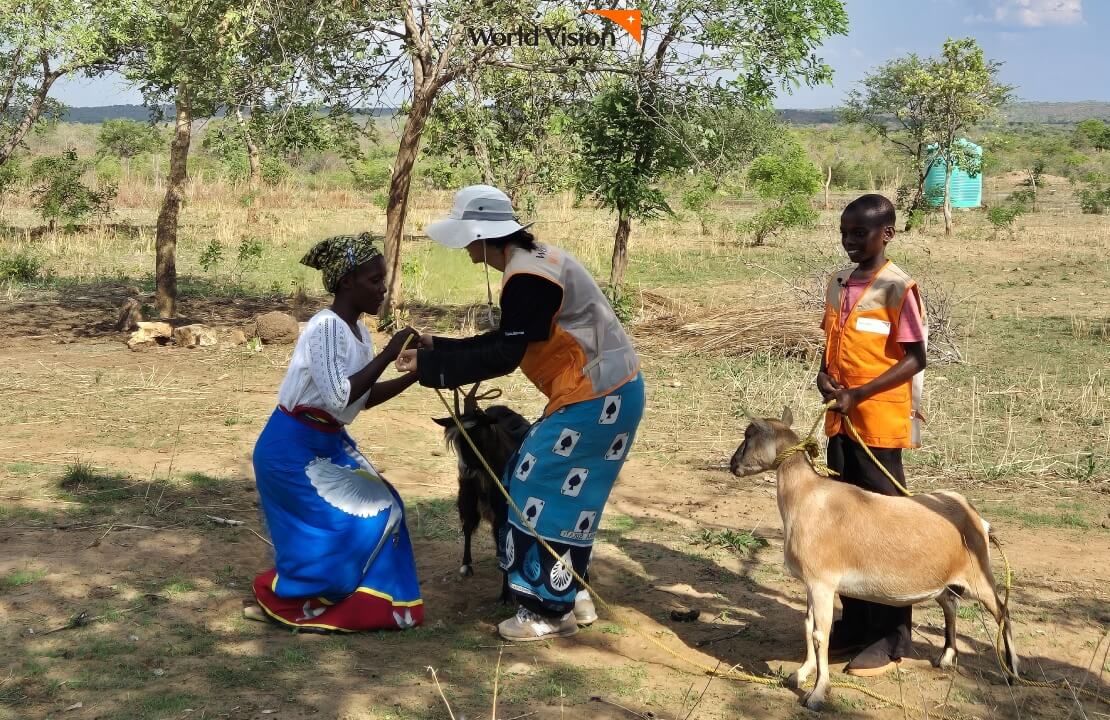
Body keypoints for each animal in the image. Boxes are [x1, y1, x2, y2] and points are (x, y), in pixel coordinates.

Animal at [728, 408, 1016, 710]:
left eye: (748, 434)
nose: (732, 465)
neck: (806, 498)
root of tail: (977, 518)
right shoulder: (810, 584)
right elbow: (808, 627)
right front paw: (800, 674)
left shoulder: (822, 583)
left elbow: (820, 635)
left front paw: (817, 693)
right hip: (942, 581)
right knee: (951, 606)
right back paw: (947, 658)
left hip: (979, 575)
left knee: (1003, 612)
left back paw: (1012, 673)